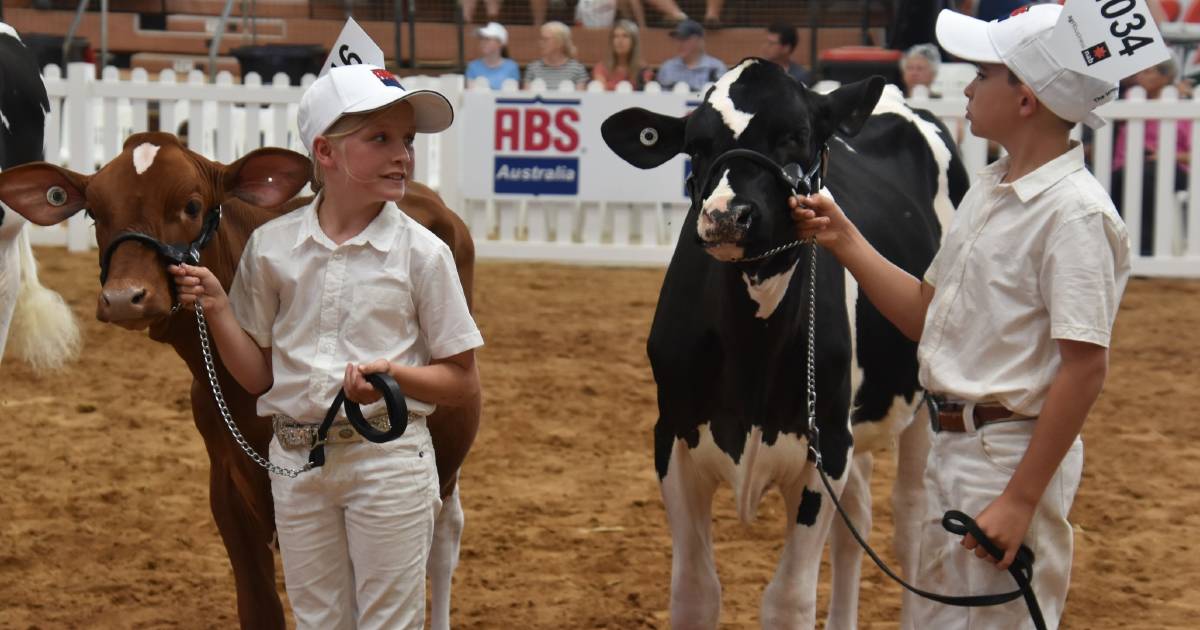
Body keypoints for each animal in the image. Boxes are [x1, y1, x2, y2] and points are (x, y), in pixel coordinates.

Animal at [600, 56, 964, 624]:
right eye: (697, 146)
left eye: (795, 135)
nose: (726, 215)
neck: (752, 345)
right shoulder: (672, 438)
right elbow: (695, 591)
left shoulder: (826, 447)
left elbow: (788, 599)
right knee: (856, 520)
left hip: (920, 405)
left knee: (911, 526)